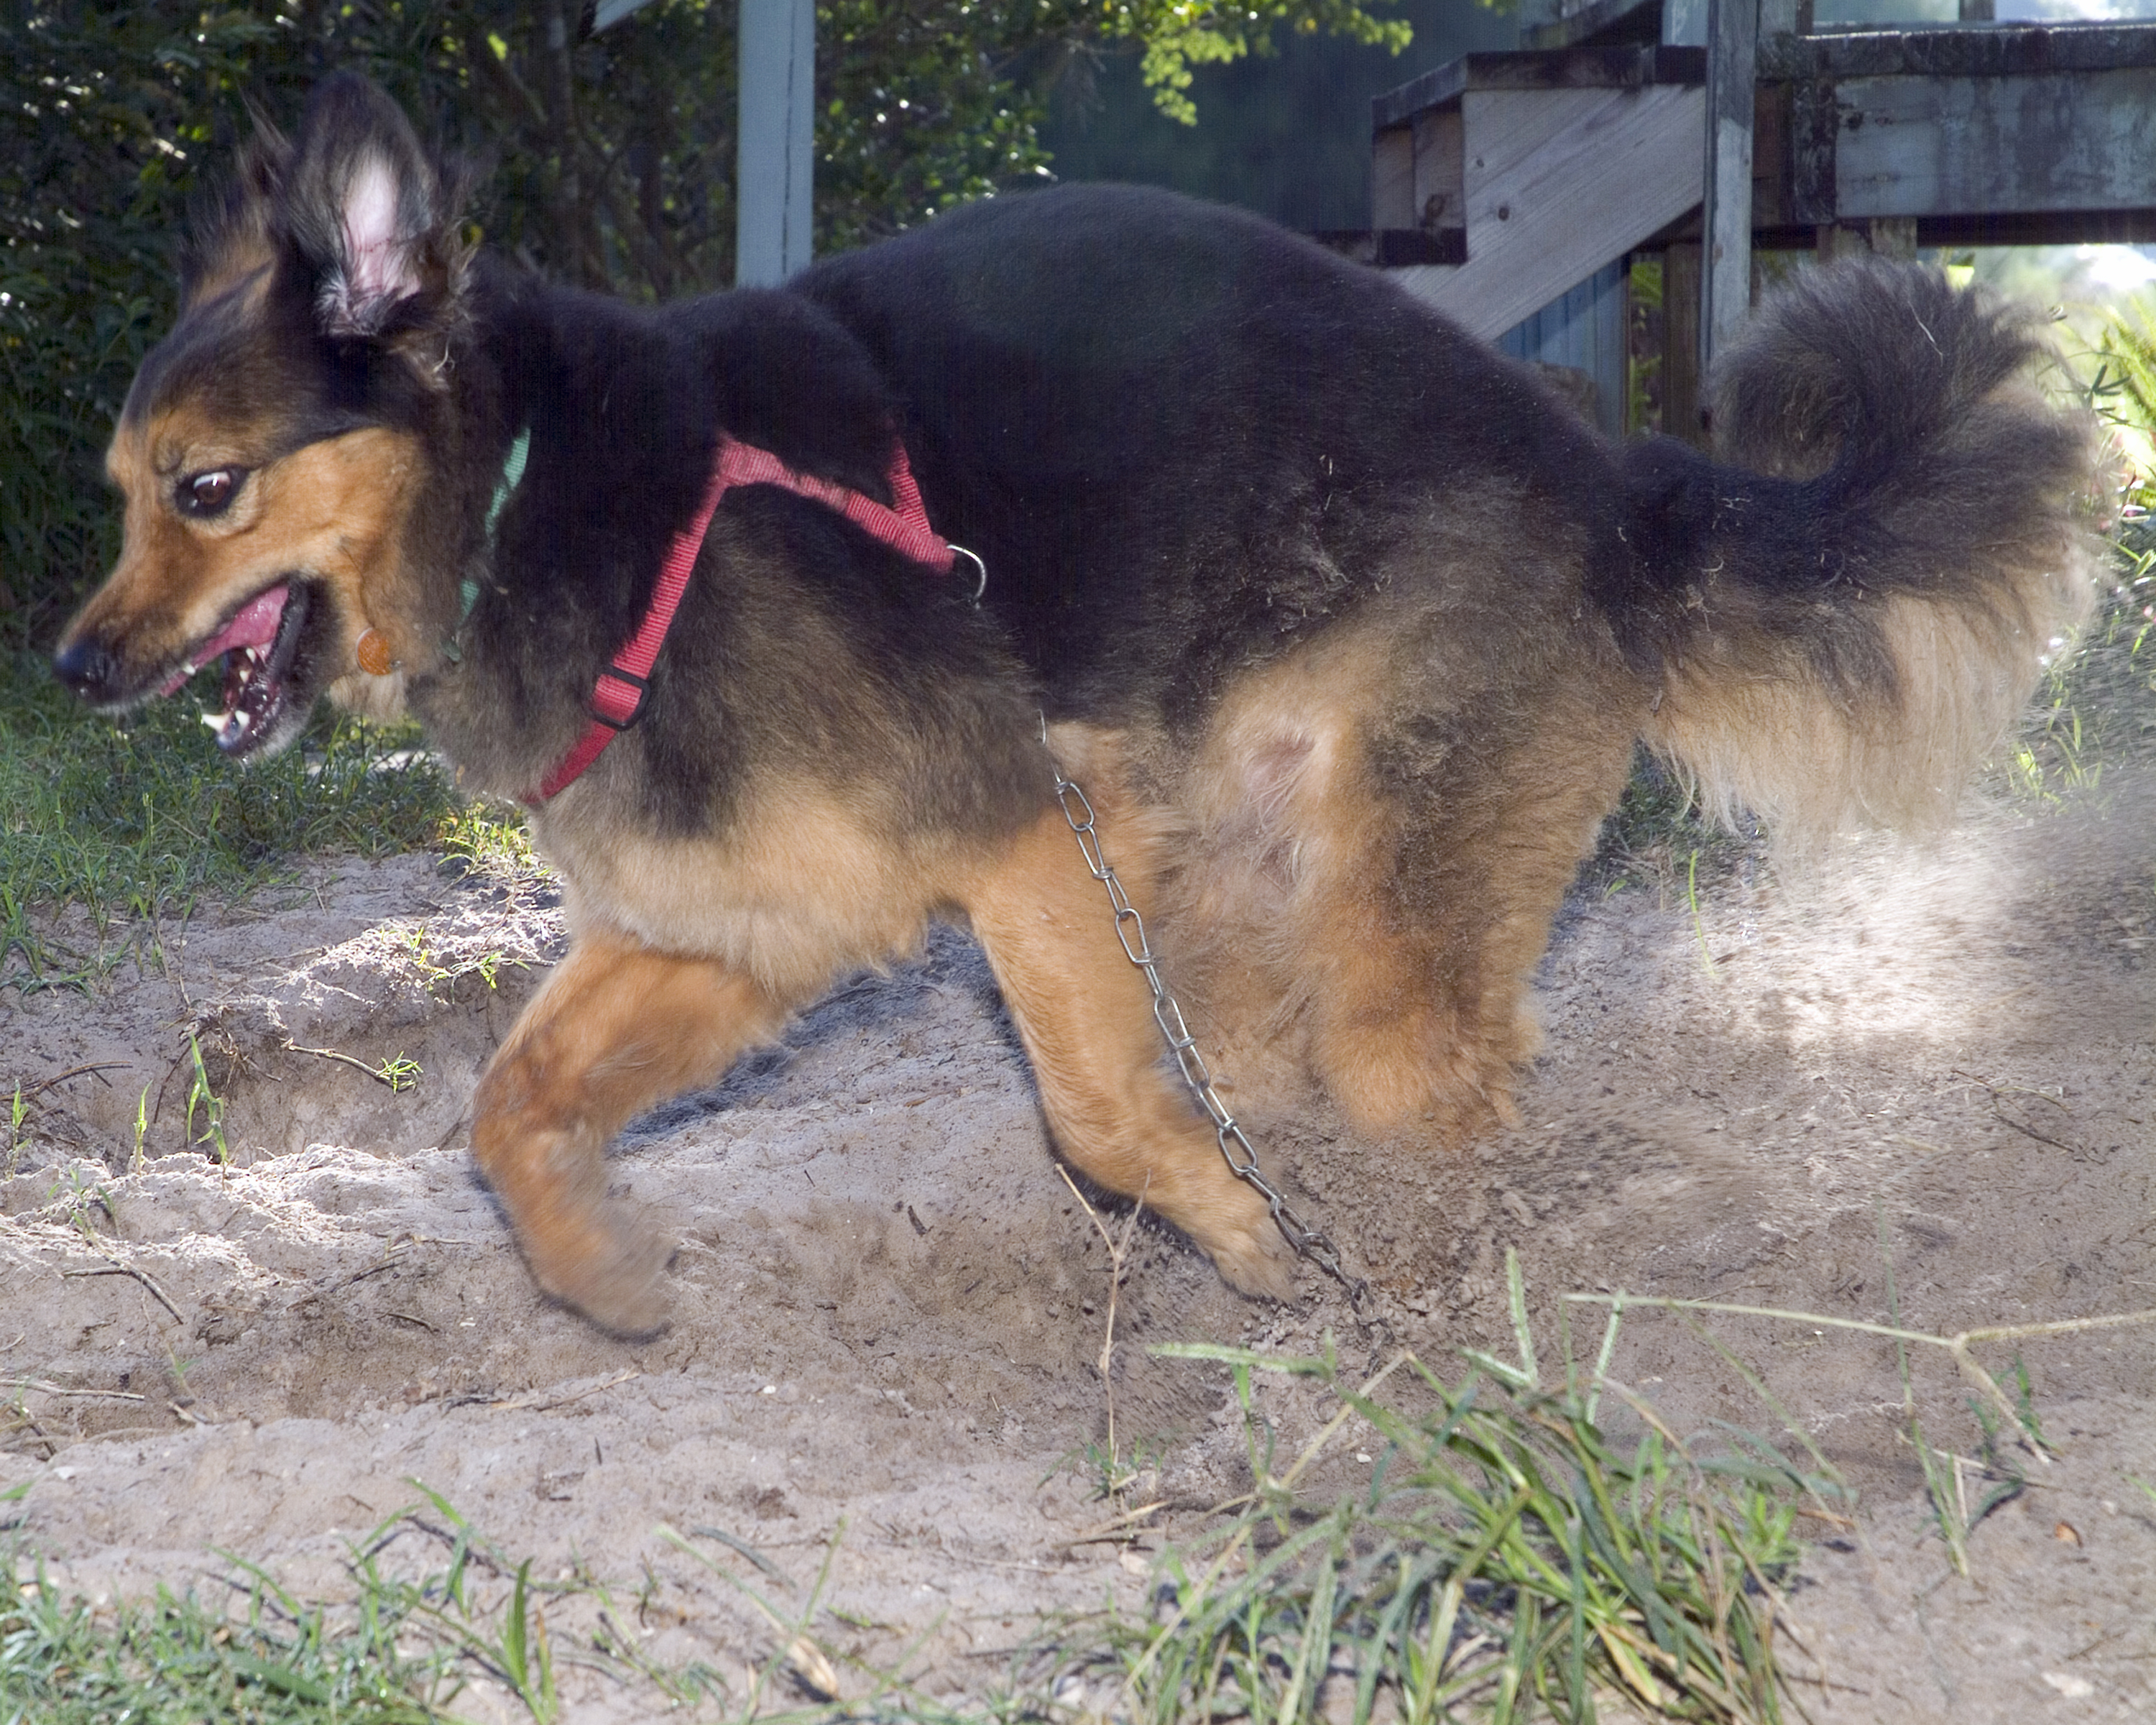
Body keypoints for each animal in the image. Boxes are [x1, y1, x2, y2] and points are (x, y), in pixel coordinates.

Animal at [59, 74, 2096, 1337]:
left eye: (207, 490)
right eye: (118, 488)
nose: (73, 669)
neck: (534, 498)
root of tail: (1607, 481)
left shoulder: (1018, 835)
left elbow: (1097, 1117)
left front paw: (1261, 1251)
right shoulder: (740, 924)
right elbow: (509, 1103)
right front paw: (598, 1277)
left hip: (1381, 888)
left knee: (1420, 1087)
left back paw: (1445, 1292)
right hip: (1219, 883)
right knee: (1271, 1056)